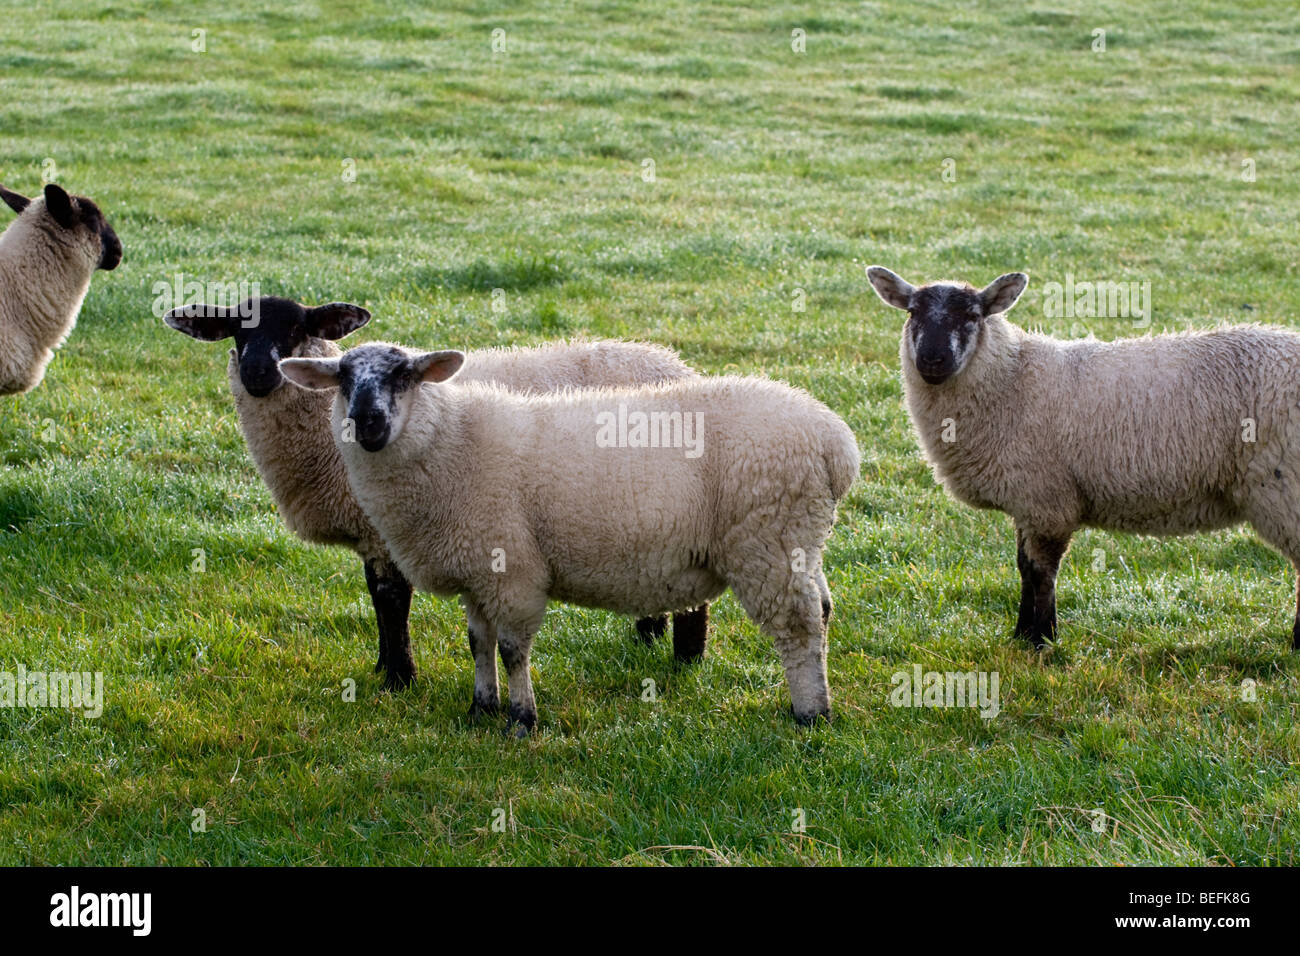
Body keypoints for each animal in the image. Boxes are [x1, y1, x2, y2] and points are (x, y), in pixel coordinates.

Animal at [164, 297, 709, 688]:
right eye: (237, 330)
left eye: (298, 329)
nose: (258, 373)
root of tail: (677, 364)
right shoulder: (377, 526)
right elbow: (375, 597)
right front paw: (383, 665)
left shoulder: (388, 526)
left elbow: (390, 600)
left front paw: (399, 679)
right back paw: (648, 635)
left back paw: (686, 661)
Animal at [280, 342, 860, 733]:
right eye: (341, 380)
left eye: (405, 375)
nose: (367, 423)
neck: (451, 443)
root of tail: (835, 442)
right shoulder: (477, 572)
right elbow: (478, 642)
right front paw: (480, 708)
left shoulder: (512, 570)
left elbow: (512, 648)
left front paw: (521, 720)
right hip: (801, 542)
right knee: (823, 607)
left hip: (769, 543)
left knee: (799, 627)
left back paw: (811, 713)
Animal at [868, 264, 1300, 650]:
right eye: (912, 312)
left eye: (973, 316)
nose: (932, 360)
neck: (1011, 379)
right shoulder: (1029, 500)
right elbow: (1023, 567)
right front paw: (1022, 635)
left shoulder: (1048, 501)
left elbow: (1042, 572)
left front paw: (1040, 639)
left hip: (1283, 486)